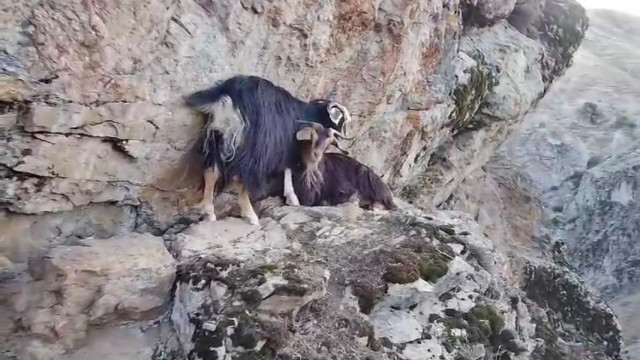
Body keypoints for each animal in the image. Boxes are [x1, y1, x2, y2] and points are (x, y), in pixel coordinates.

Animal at [185, 74, 352, 224]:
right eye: (340, 120)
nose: (318, 154)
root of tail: (229, 97)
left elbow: (286, 169)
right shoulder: (285, 147)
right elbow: (288, 170)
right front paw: (293, 198)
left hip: (216, 135)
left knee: (211, 171)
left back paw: (208, 213)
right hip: (252, 145)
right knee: (241, 177)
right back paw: (250, 216)